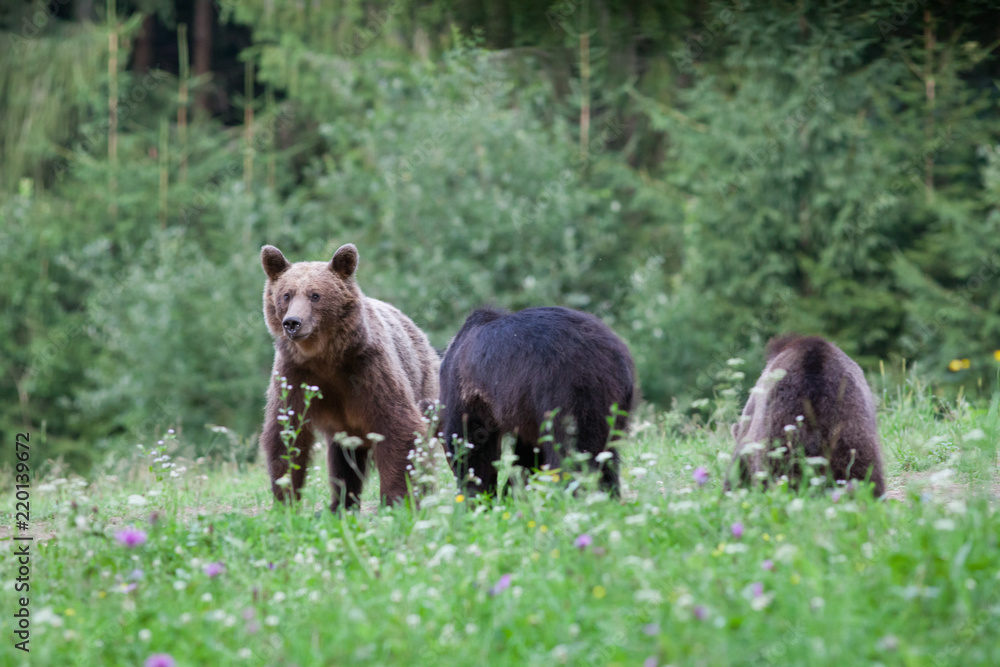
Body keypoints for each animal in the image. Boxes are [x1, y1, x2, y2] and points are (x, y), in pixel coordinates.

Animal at [259, 243, 439, 509]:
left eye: (315, 295)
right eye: (286, 295)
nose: (292, 323)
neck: (325, 356)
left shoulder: (369, 368)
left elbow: (399, 425)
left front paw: (396, 499)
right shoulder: (294, 374)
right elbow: (286, 433)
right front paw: (286, 500)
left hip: (423, 382)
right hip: (345, 432)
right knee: (343, 462)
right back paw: (340, 504)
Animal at [437, 306, 635, 496]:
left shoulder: (465, 389)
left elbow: (471, 445)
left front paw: (478, 494)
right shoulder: (523, 413)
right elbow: (527, 454)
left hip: (563, 391)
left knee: (569, 450)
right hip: (613, 401)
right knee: (604, 453)